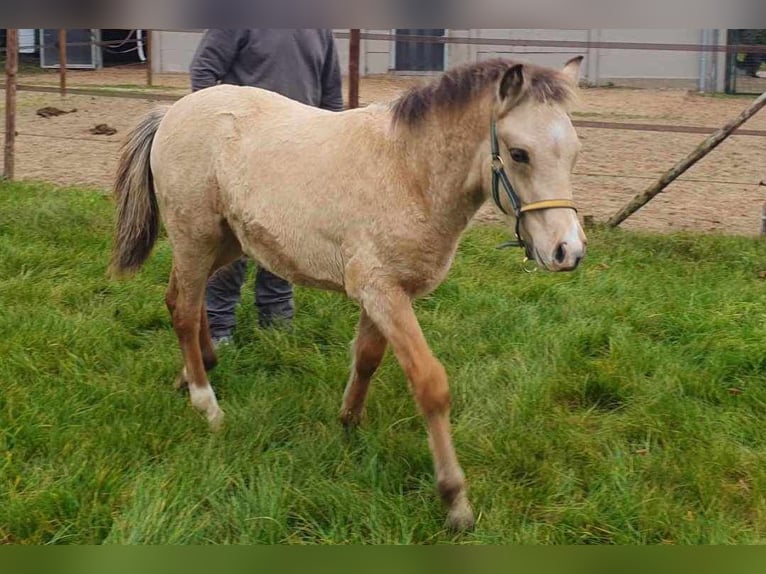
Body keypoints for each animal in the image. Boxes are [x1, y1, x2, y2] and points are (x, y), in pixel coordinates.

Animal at [109, 56, 588, 532]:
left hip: (225, 242)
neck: (408, 171)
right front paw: (455, 499)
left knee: (179, 299)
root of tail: (173, 110)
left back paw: (193, 372)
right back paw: (207, 405)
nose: (568, 251)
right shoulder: (381, 291)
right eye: (519, 153)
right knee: (186, 312)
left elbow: (367, 359)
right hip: (197, 236)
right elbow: (430, 383)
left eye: (574, 152)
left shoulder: (387, 294)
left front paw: (349, 424)